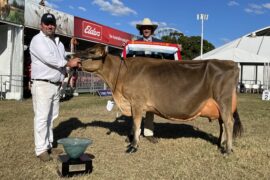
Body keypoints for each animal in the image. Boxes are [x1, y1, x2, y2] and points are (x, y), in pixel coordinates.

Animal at [77, 45, 244, 153]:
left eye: (91, 51)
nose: (73, 56)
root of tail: (231, 63)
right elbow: (135, 125)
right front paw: (131, 140)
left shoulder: (136, 103)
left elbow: (136, 125)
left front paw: (133, 146)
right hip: (220, 105)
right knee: (222, 124)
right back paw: (220, 143)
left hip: (223, 100)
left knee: (229, 122)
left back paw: (228, 149)